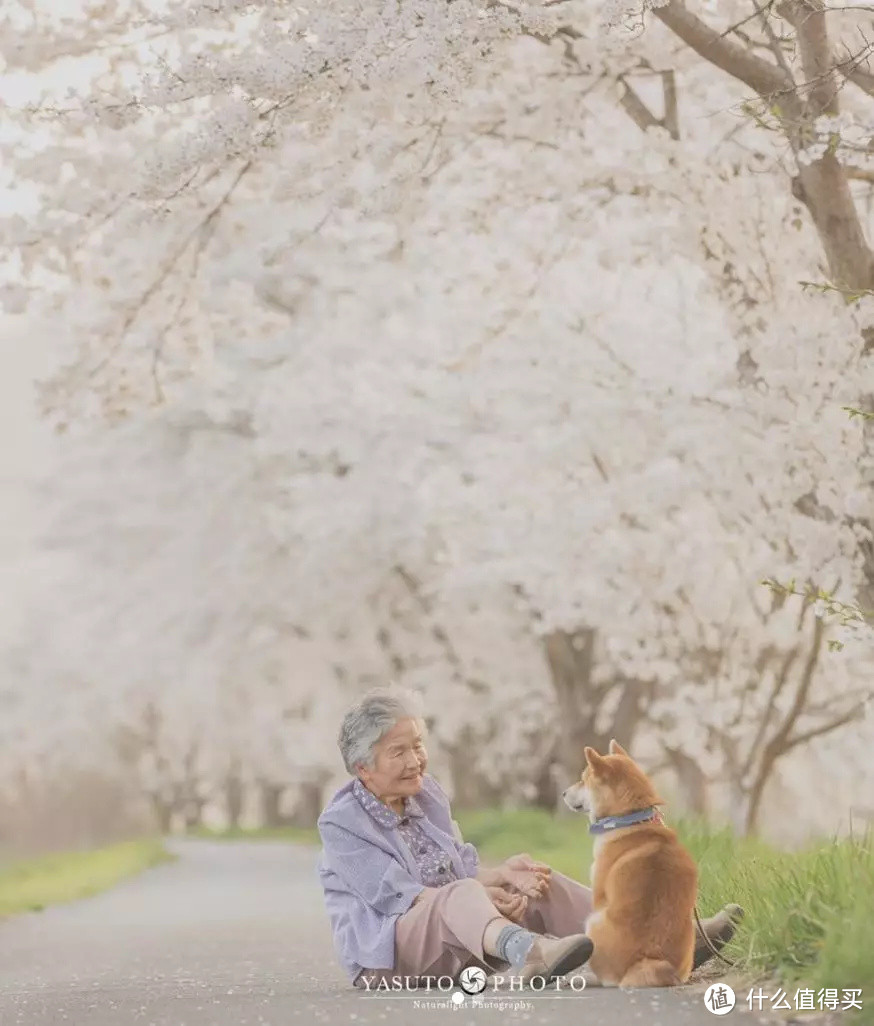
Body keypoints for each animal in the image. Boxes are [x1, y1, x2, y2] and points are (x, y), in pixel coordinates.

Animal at [562, 738, 701, 984]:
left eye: (583, 779)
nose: (563, 793)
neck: (631, 819)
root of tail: (649, 959)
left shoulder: (598, 894)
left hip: (592, 922)